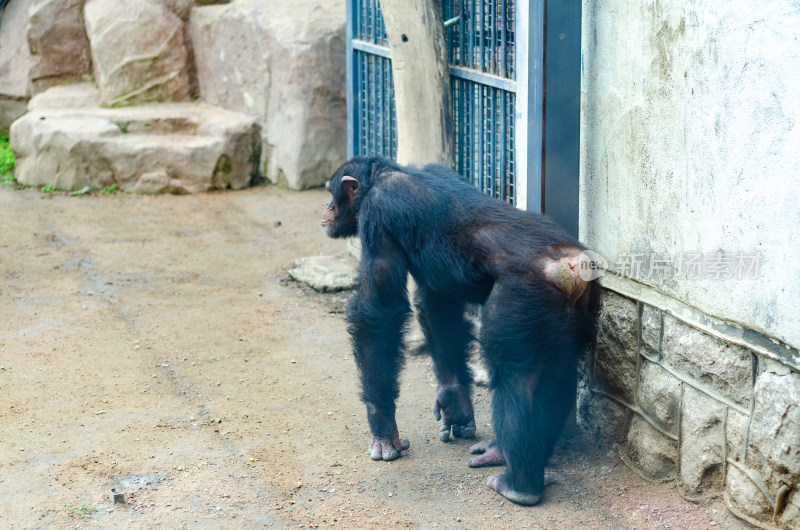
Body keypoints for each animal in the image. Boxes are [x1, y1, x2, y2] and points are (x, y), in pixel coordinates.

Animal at [322, 156, 596, 504]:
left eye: (330, 192)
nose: (326, 207)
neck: (382, 175)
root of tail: (568, 266)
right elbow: (439, 304)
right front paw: (455, 403)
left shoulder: (377, 216)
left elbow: (379, 311)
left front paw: (383, 431)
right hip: (573, 310)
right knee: (558, 374)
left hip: (523, 297)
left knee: (517, 378)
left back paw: (517, 482)